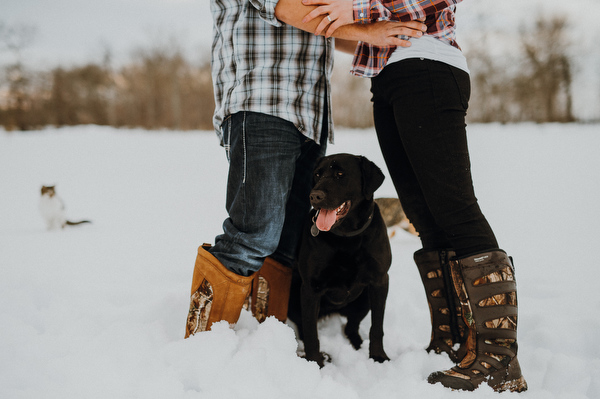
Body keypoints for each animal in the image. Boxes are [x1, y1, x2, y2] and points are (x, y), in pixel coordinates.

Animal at [288, 153, 392, 368]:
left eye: (340, 174)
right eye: (317, 174)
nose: (315, 196)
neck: (347, 237)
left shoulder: (380, 281)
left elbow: (377, 327)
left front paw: (378, 356)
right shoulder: (310, 289)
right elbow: (311, 333)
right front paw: (315, 363)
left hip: (364, 299)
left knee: (350, 327)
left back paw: (358, 345)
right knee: (303, 329)